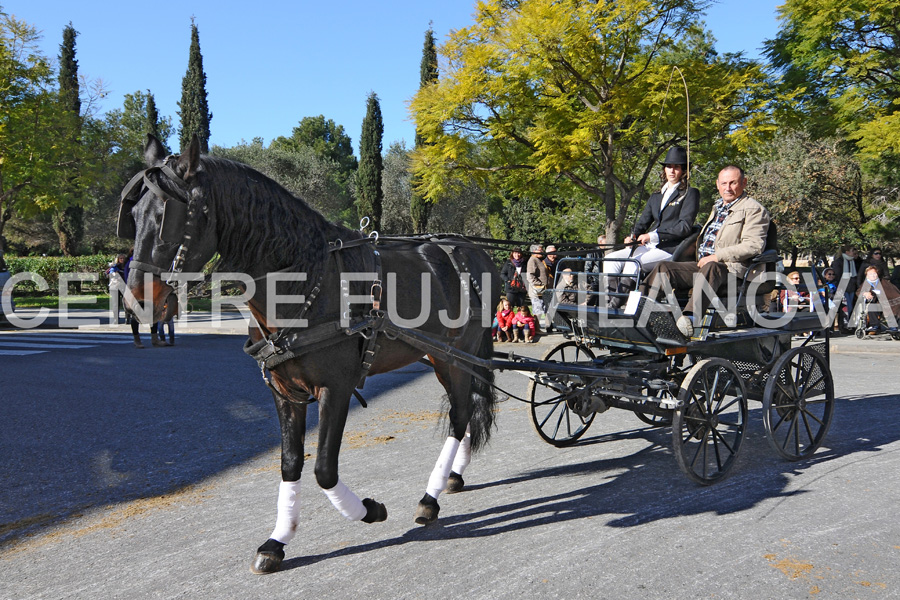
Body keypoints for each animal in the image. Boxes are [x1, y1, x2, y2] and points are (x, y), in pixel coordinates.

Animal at [118, 135, 500, 572]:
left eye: (169, 215)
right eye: (134, 214)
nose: (136, 301)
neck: (306, 283)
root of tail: (471, 249)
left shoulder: (335, 389)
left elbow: (324, 469)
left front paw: (367, 510)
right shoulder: (285, 392)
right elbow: (290, 462)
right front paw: (277, 539)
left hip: (458, 357)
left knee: (459, 415)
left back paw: (430, 496)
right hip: (442, 357)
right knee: (467, 409)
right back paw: (453, 475)